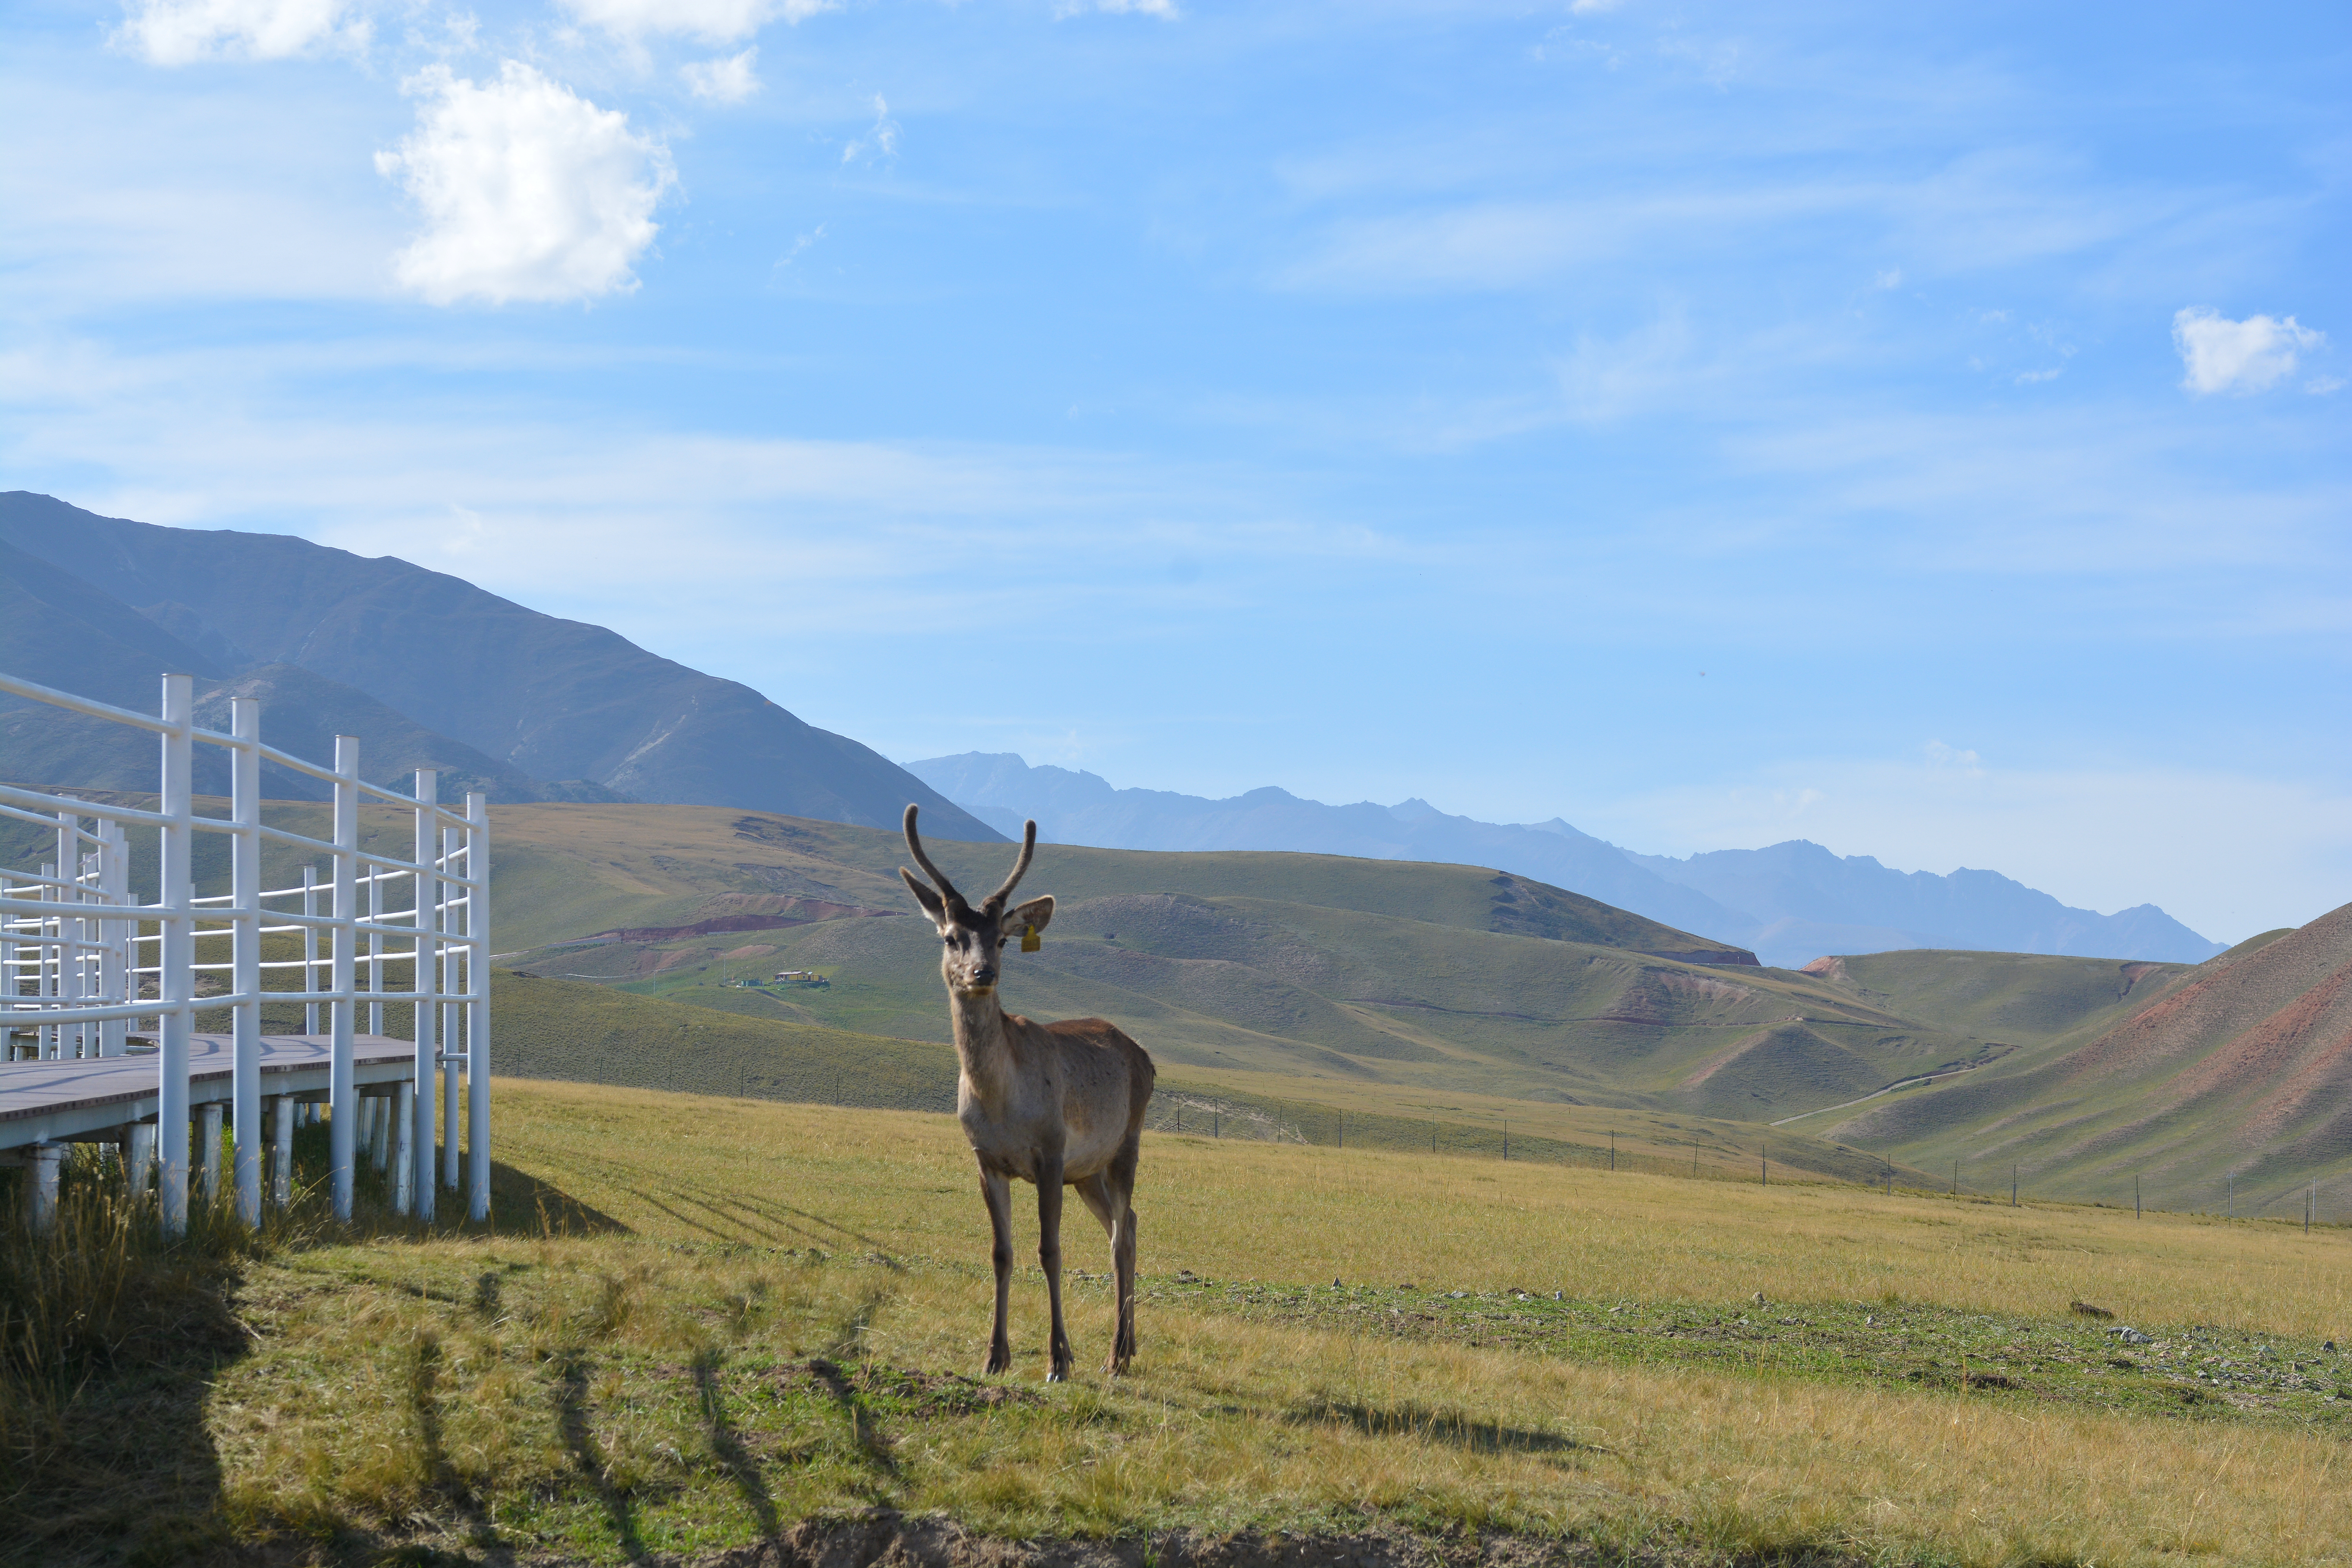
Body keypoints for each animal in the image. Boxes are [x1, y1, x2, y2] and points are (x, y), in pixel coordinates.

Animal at [898, 804, 1157, 1382]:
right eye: (950, 937)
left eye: (1001, 938)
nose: (982, 973)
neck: (1000, 1102)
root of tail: (1146, 1057)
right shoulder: (985, 1158)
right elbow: (1002, 1251)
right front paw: (995, 1355)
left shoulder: (1051, 1151)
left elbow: (1050, 1250)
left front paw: (1059, 1358)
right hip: (1088, 1171)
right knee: (1125, 1224)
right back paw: (1128, 1348)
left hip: (1125, 1142)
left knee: (1121, 1234)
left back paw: (1115, 1353)